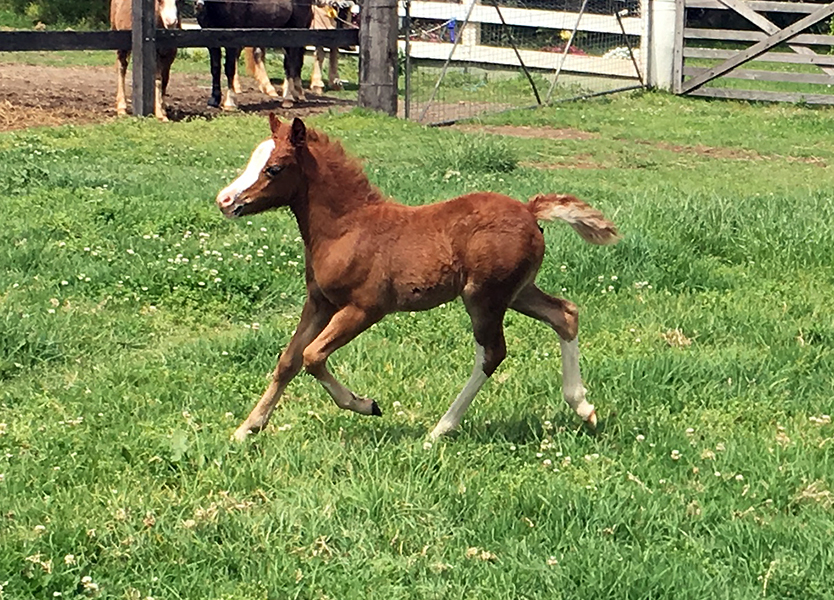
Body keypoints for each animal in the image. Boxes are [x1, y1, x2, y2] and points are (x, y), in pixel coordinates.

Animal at [215, 115, 620, 441]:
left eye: (274, 168)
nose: (225, 200)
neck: (347, 227)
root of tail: (528, 209)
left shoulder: (365, 308)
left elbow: (313, 356)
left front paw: (366, 404)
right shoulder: (320, 302)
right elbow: (289, 359)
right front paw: (246, 428)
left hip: (483, 296)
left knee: (492, 353)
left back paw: (440, 430)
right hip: (517, 291)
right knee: (564, 314)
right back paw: (583, 407)